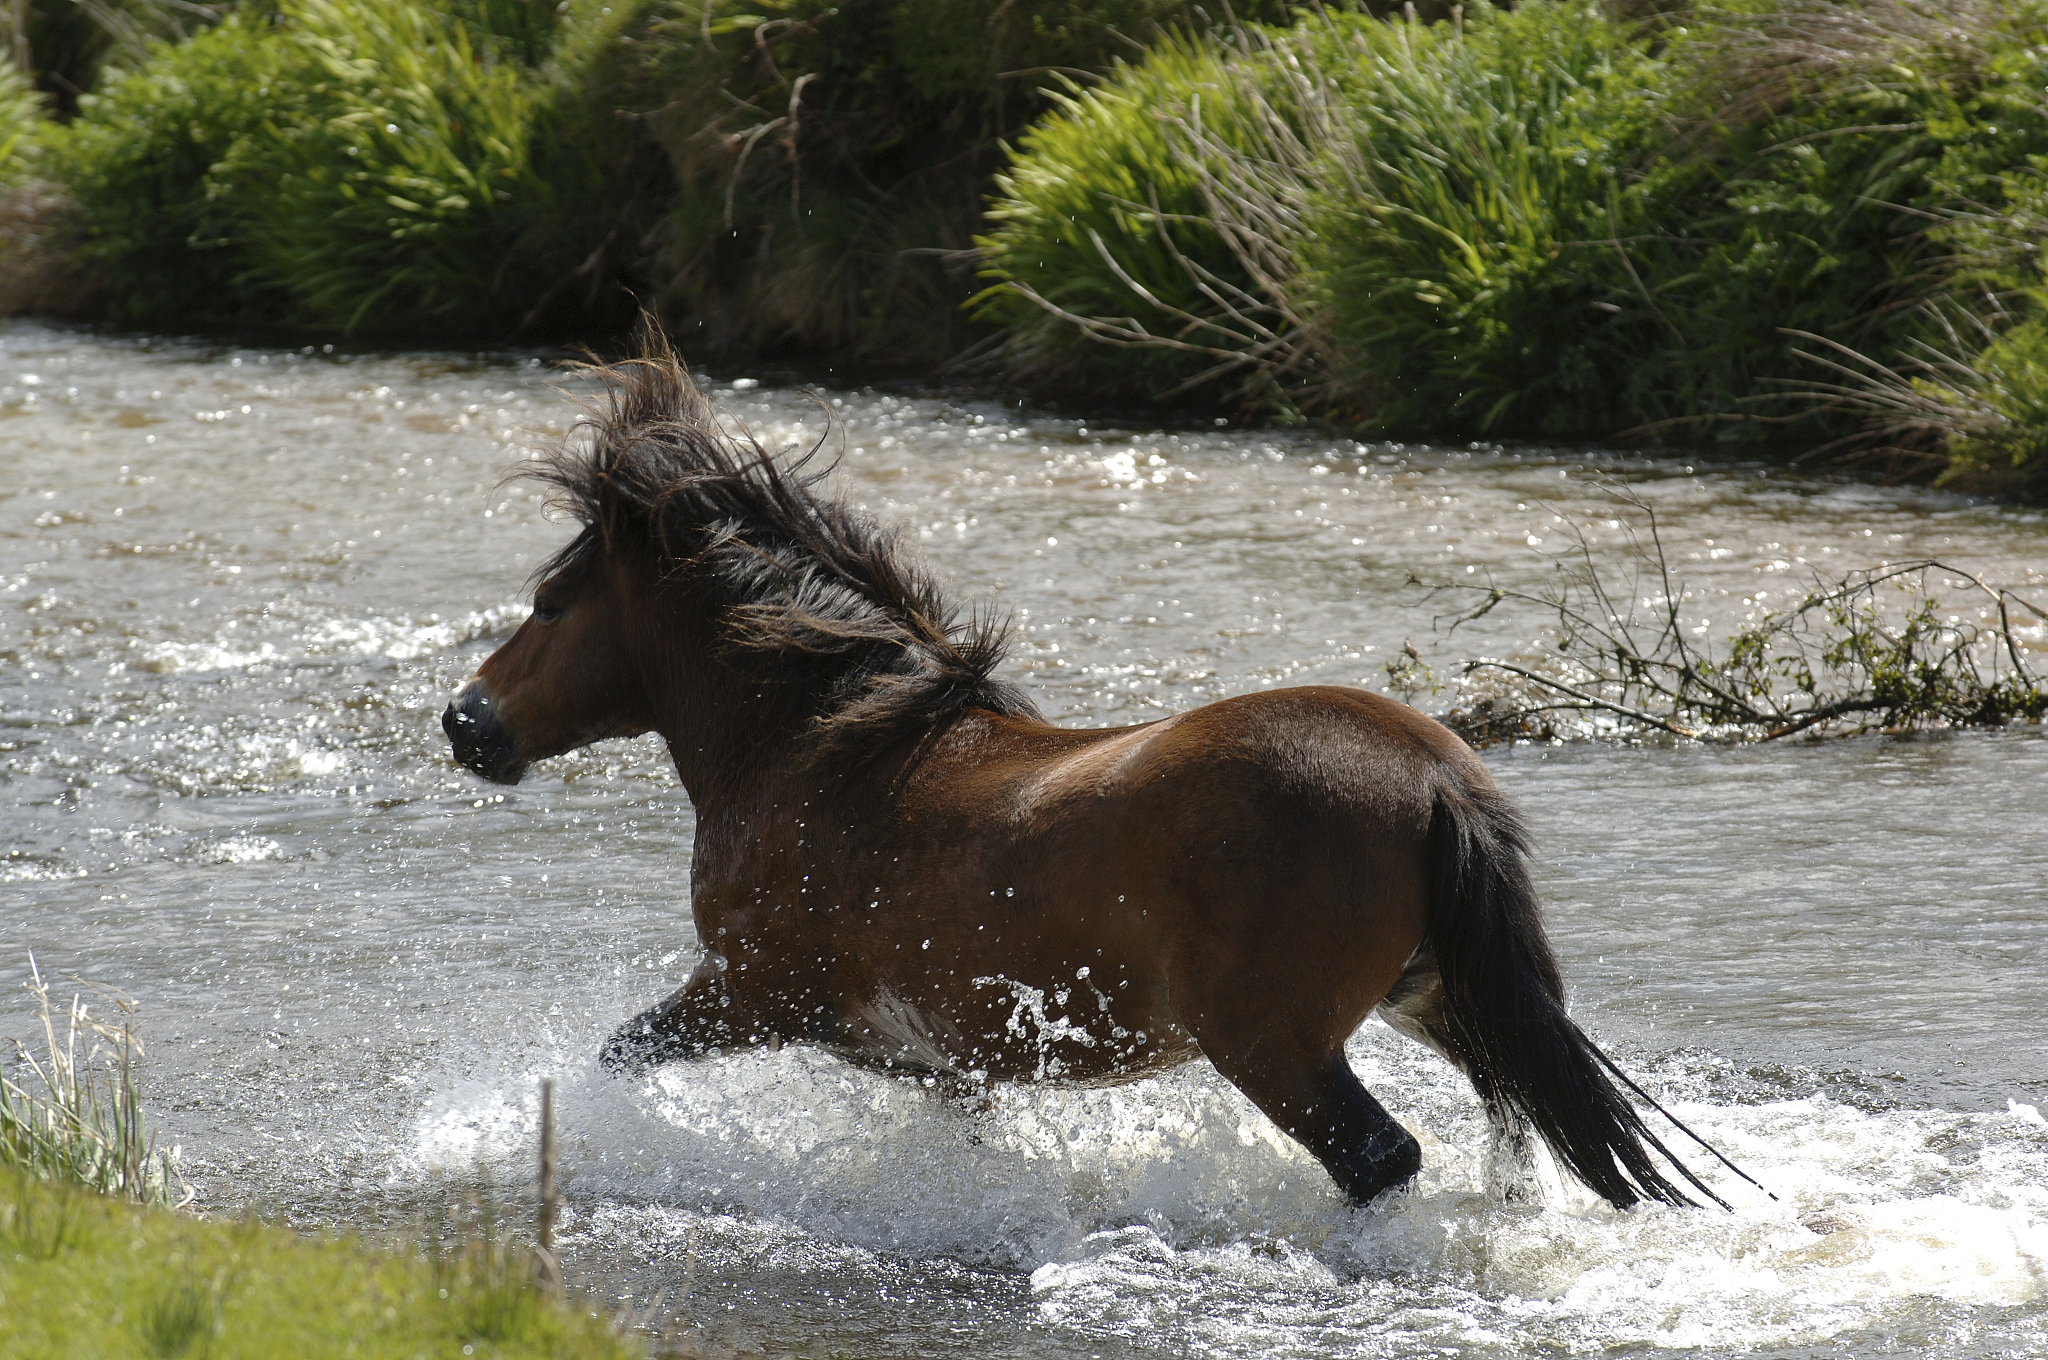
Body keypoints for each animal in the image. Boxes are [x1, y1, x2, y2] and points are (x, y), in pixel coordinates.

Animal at [443, 330, 1744, 1211]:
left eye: (552, 603)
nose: (465, 722)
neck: (825, 745)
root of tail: (1432, 779)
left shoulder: (750, 994)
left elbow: (620, 1057)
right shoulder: (931, 1055)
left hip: (1274, 1047)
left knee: (1379, 1156)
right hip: (1440, 1000)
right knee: (1510, 1125)